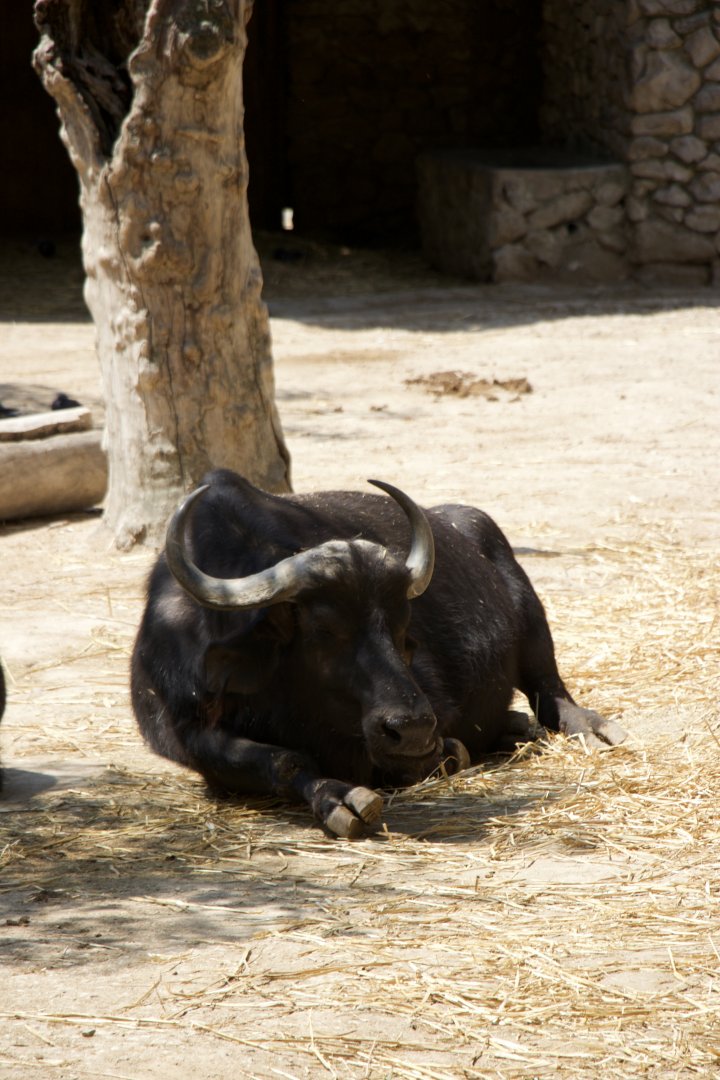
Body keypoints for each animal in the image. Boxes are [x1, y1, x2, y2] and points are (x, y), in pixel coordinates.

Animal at [131, 469, 626, 837]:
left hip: (530, 618)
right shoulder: (186, 731)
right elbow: (281, 759)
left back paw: (591, 728)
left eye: (403, 627)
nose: (412, 730)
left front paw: (445, 752)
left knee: (549, 690)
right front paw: (337, 798)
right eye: (324, 629)